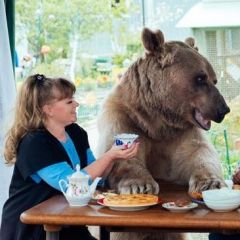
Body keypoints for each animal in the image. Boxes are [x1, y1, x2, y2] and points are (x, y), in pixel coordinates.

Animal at [96, 28, 230, 240]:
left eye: (214, 79)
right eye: (200, 78)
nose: (223, 109)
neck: (157, 120)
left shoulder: (181, 133)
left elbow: (199, 153)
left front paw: (210, 183)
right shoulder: (125, 117)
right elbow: (120, 154)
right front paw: (140, 185)